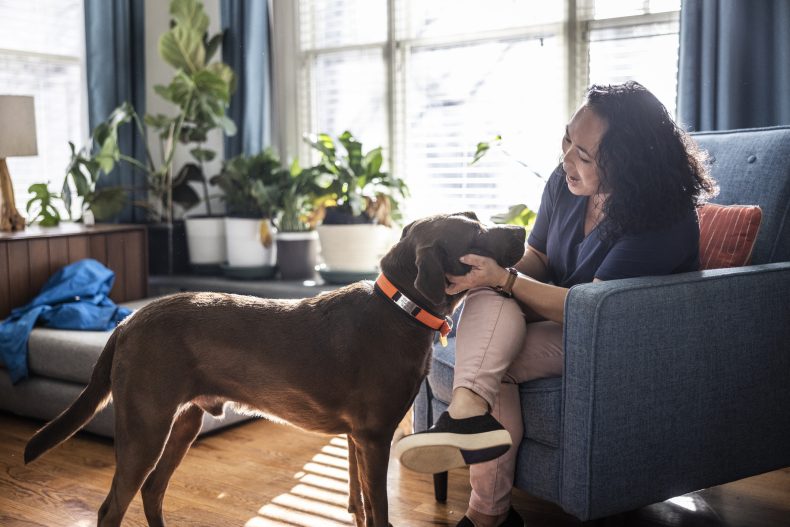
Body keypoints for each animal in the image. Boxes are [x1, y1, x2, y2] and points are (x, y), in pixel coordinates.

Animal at [26, 212, 524, 524]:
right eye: (476, 233)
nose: (521, 228)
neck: (400, 308)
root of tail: (127, 321)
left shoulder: (356, 439)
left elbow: (360, 504)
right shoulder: (374, 436)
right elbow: (378, 509)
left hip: (183, 422)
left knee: (152, 491)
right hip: (145, 426)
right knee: (112, 506)